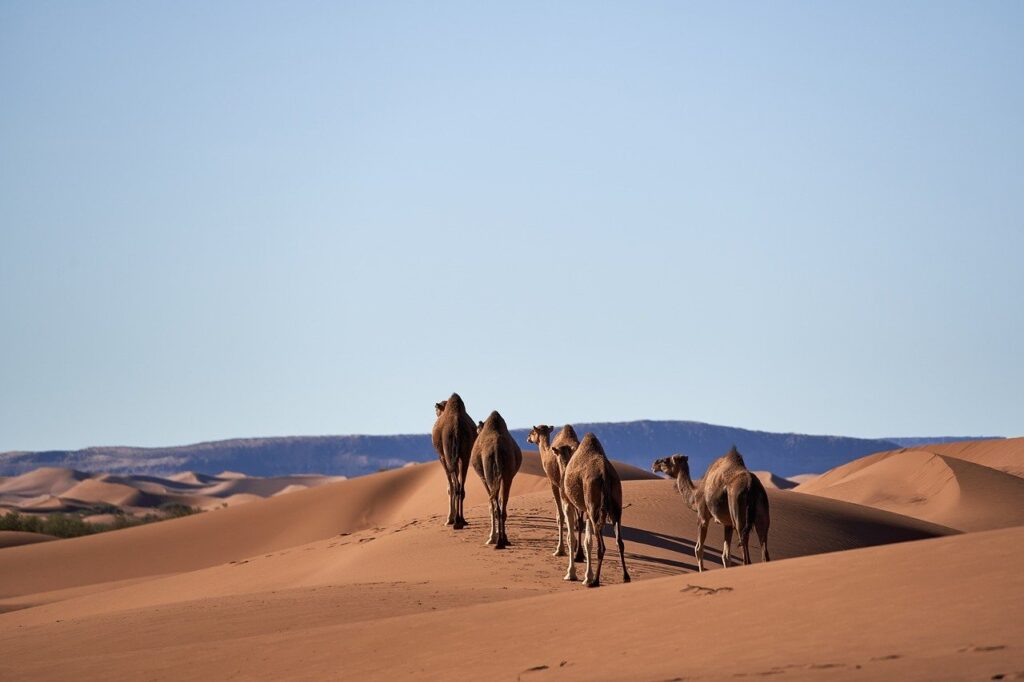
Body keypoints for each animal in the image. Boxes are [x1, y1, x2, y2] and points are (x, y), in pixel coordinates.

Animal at [430, 392, 476, 529]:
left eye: (437, 410)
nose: (436, 411)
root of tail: (456, 427)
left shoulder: (442, 457)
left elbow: (449, 487)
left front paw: (449, 519)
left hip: (449, 454)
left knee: (455, 486)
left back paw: (456, 521)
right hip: (465, 454)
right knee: (461, 486)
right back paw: (462, 520)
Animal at [471, 411, 523, 549]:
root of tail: (497, 449)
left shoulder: (483, 477)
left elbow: (490, 505)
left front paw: (491, 537)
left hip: (489, 474)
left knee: (495, 506)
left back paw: (498, 541)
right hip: (507, 473)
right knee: (503, 504)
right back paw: (504, 540)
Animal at [552, 433, 630, 587]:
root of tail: (605, 474)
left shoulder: (567, 503)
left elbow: (571, 538)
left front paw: (571, 574)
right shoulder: (587, 511)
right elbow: (588, 542)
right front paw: (587, 576)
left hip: (594, 506)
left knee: (601, 547)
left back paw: (596, 581)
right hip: (616, 506)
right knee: (620, 542)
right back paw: (625, 577)